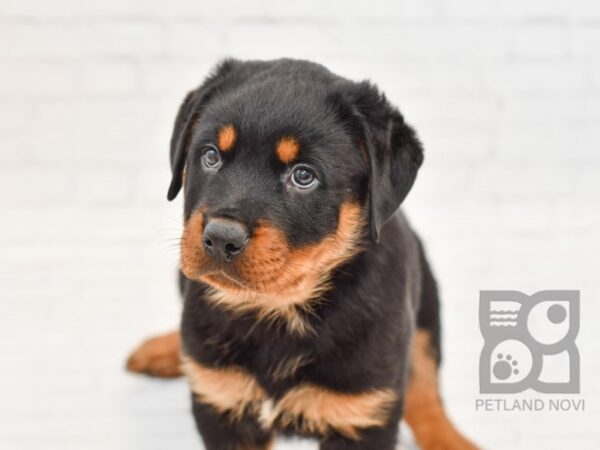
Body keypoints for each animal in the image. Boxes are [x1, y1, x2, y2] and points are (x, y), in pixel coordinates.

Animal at [126, 59, 478, 450]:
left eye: (303, 176)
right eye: (211, 156)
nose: (220, 238)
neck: (280, 312)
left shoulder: (361, 412)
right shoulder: (223, 404)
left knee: (425, 384)